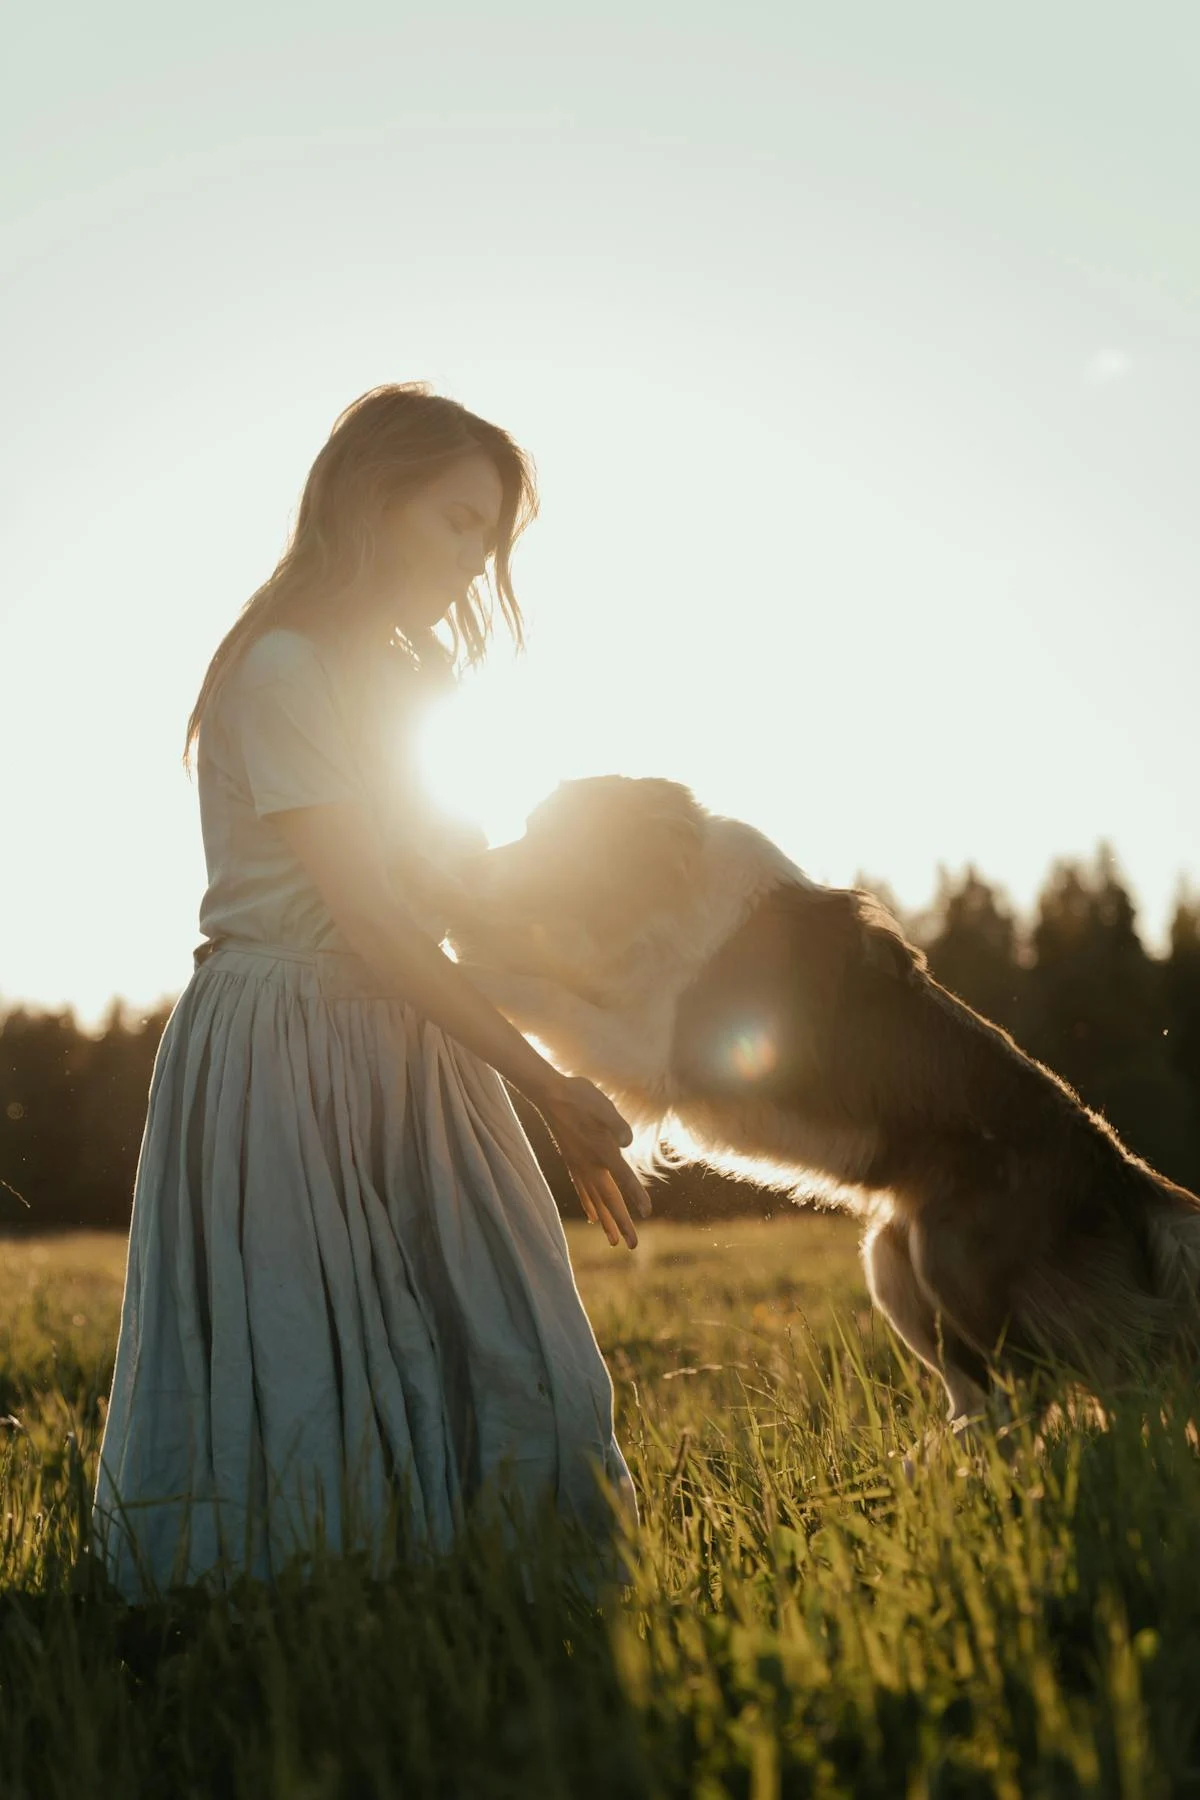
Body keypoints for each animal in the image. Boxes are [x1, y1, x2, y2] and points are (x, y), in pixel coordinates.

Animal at [447, 781, 1200, 1425]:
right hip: (892, 1260)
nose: (466, 866)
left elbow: (538, 994)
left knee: (1032, 1390)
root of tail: (1120, 1169)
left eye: (546, 838)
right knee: (981, 1396)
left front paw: (455, 969)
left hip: (953, 1256)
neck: (670, 896)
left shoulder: (658, 1049)